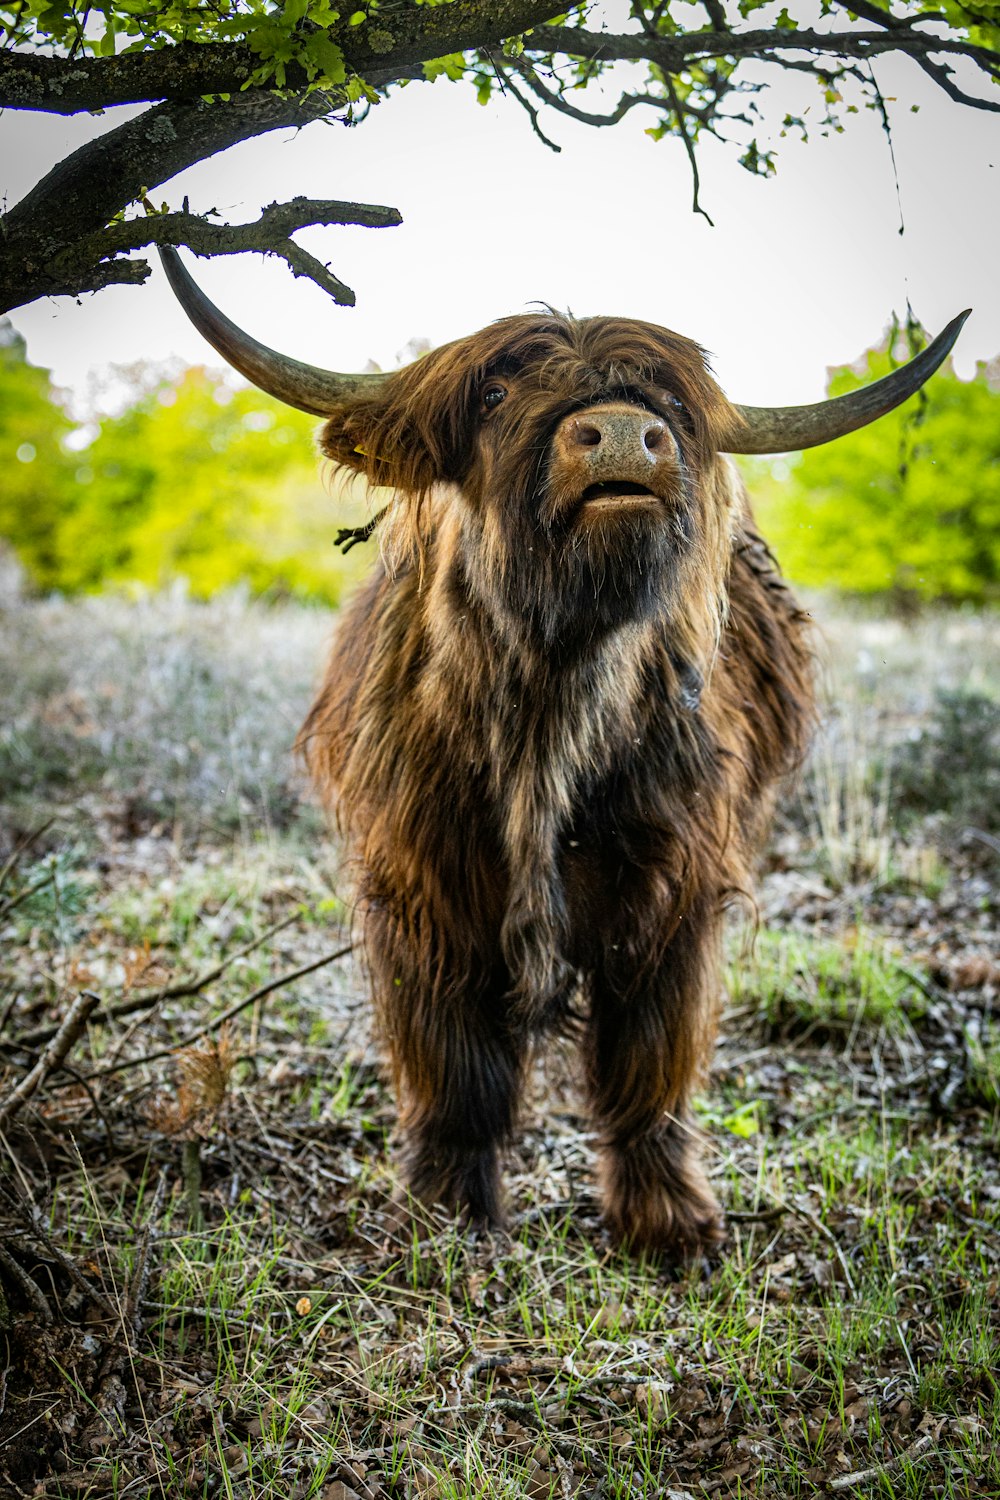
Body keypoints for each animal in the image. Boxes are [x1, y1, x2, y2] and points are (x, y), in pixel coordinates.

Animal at [162, 252, 971, 1260]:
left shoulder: (674, 888)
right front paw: (446, 1210)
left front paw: (670, 1223)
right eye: (496, 392)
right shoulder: (426, 888)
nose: (623, 432)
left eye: (669, 403)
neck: (555, 689)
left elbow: (649, 1059)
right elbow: (456, 1066)